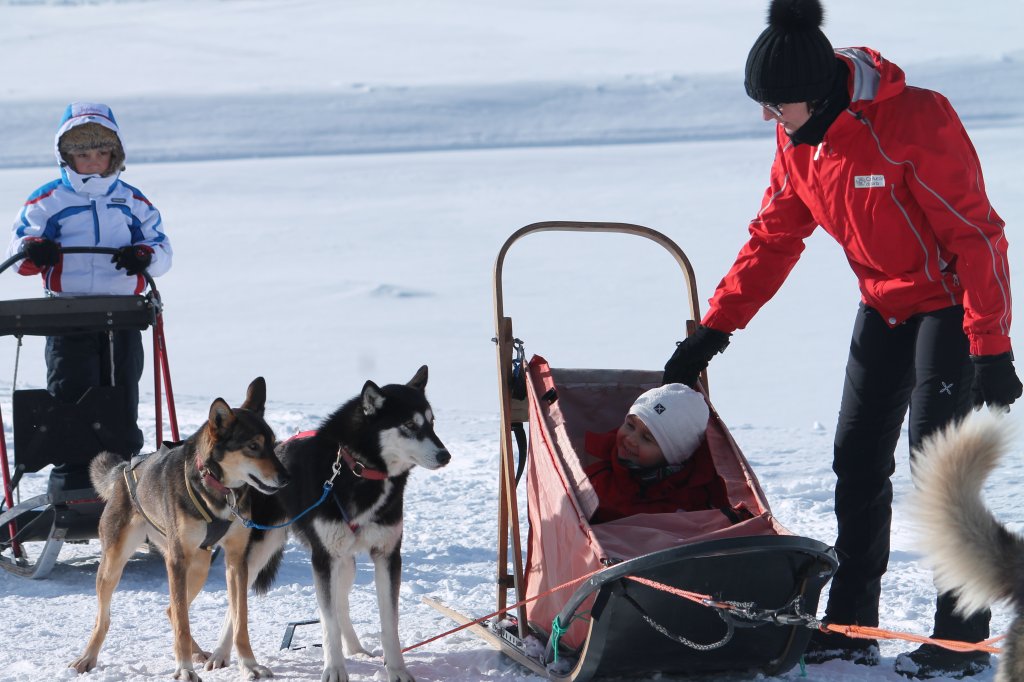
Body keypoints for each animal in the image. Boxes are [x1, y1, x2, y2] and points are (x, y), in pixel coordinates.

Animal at [70, 376, 288, 679]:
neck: (219, 491)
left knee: (171, 610)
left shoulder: (236, 561)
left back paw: (198, 652)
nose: (286, 478)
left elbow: (239, 620)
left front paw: (249, 664)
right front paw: (183, 670)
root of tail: (124, 468)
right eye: (253, 447)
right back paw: (87, 657)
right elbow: (184, 626)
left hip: (199, 567)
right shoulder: (177, 561)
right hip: (115, 564)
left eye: (273, 444)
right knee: (105, 618)